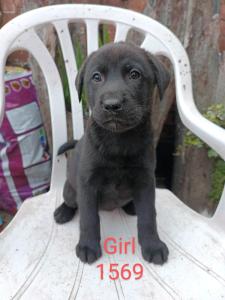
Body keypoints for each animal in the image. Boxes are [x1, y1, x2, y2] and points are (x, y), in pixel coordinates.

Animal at [54, 41, 170, 264]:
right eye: (96, 77)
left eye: (134, 74)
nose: (112, 105)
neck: (118, 140)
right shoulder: (87, 183)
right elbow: (88, 218)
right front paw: (88, 246)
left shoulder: (145, 180)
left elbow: (148, 216)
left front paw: (152, 245)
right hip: (71, 190)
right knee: (71, 201)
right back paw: (63, 211)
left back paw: (131, 206)